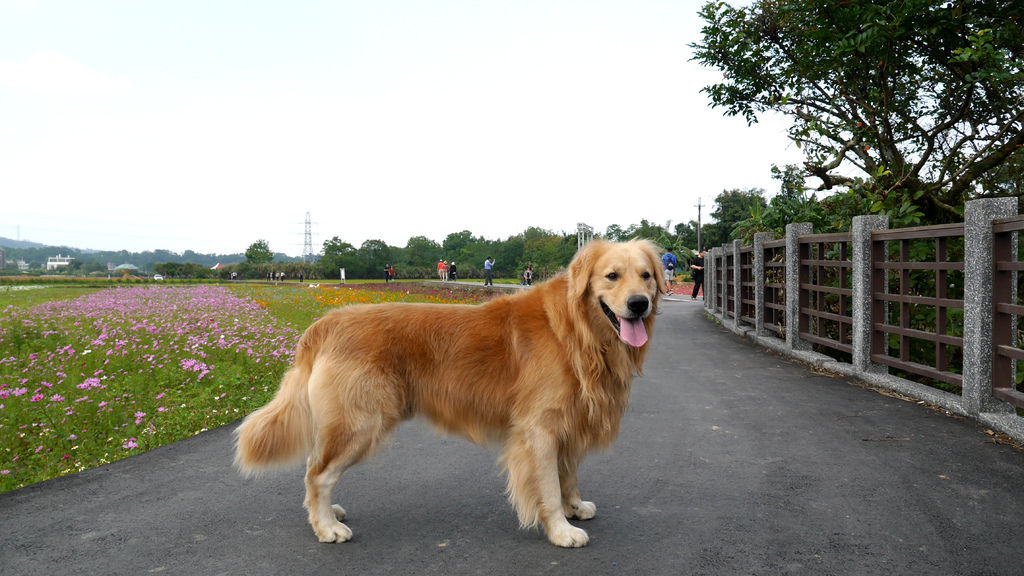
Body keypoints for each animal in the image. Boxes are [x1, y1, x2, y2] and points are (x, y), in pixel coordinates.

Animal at [233, 237, 663, 545]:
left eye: (646, 276)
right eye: (611, 276)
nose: (639, 304)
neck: (578, 330)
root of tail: (325, 322)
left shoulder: (571, 421)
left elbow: (568, 474)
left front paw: (574, 506)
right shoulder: (539, 429)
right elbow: (548, 486)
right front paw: (561, 530)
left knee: (315, 469)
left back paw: (327, 514)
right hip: (362, 422)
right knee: (317, 474)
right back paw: (326, 528)